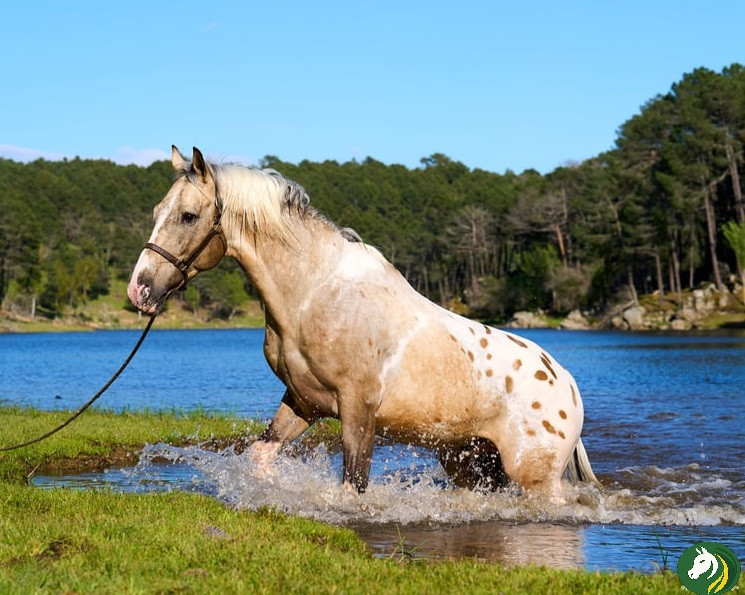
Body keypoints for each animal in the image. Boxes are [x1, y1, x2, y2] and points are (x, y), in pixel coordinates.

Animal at [127, 146, 599, 497]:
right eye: (156, 210)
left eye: (189, 216)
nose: (139, 290)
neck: (316, 294)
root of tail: (567, 384)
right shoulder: (303, 401)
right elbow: (260, 457)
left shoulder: (358, 408)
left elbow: (353, 485)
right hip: (468, 462)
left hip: (534, 477)